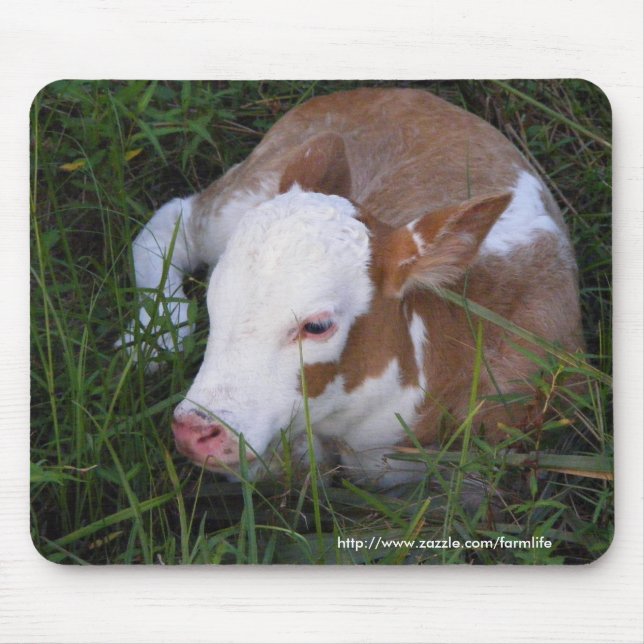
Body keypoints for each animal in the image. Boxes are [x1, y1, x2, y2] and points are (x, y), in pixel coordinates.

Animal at [120, 87, 583, 485]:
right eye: (214, 297)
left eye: (318, 326)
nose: (194, 431)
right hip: (249, 187)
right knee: (177, 220)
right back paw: (156, 337)